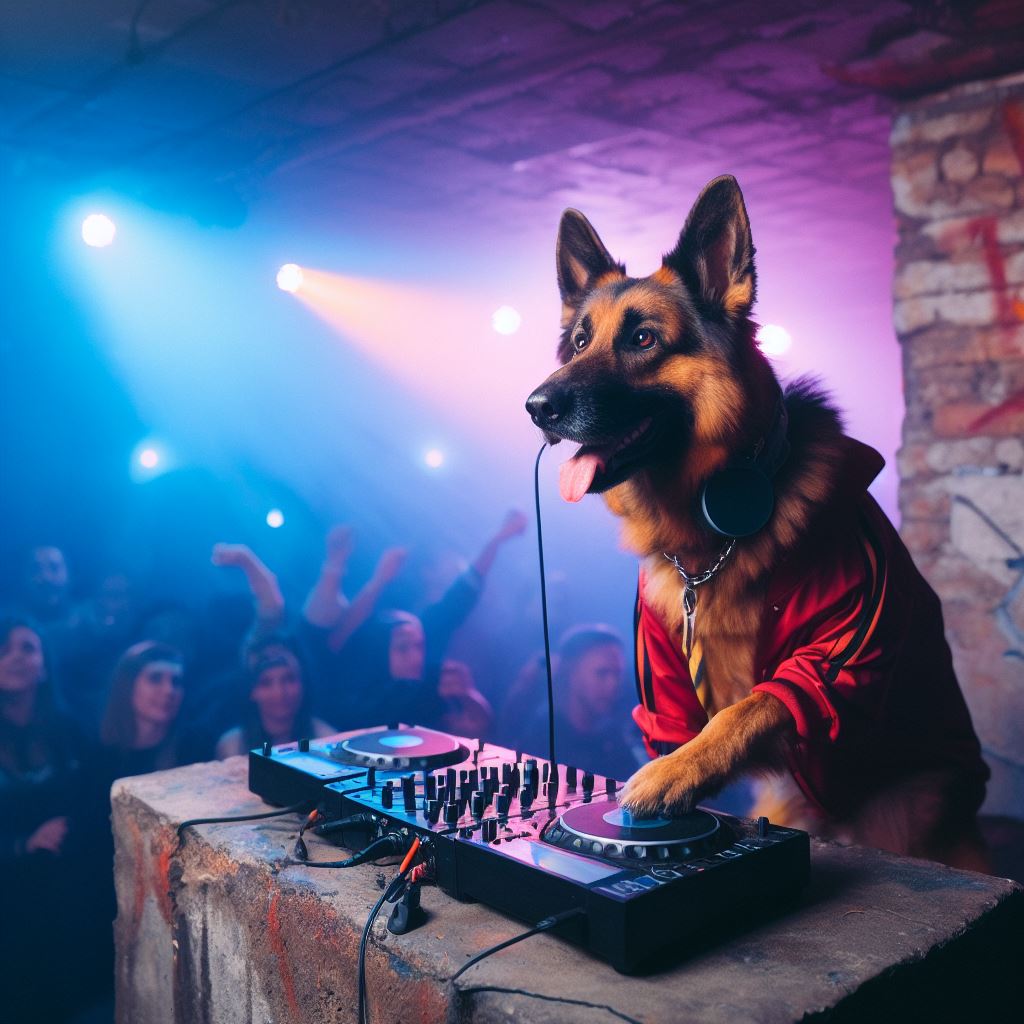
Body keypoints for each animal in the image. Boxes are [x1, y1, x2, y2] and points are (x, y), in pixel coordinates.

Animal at [524, 180, 987, 868]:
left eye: (643, 339)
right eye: (580, 342)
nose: (537, 407)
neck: (712, 537)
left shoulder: (834, 662)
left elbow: (751, 706)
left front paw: (669, 779)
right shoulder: (665, 693)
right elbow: (684, 731)